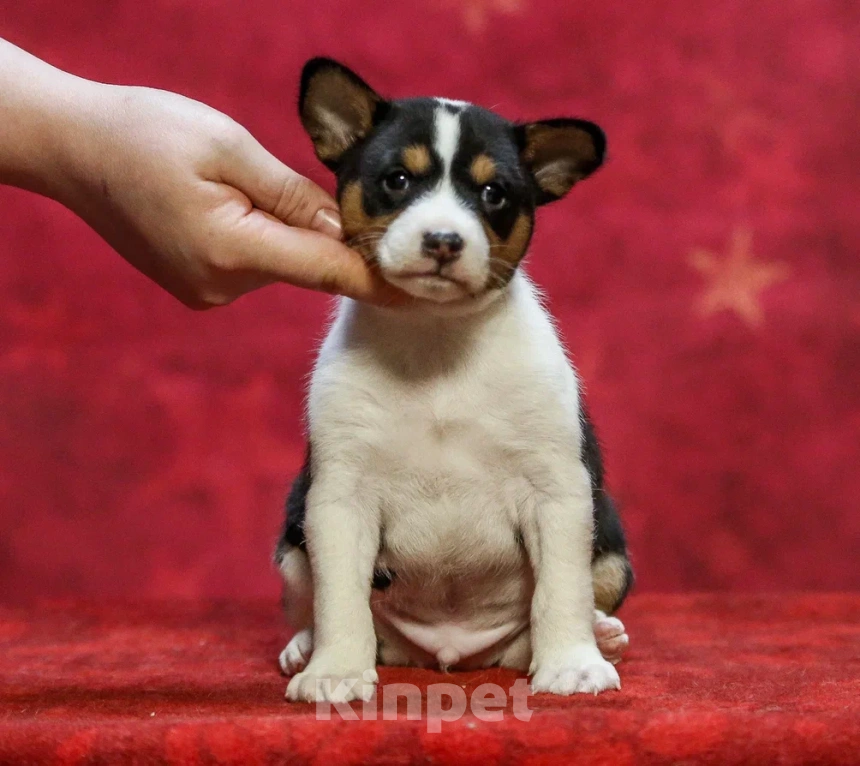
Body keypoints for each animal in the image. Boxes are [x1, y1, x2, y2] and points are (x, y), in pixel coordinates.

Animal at [276, 58, 632, 708]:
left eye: (493, 194)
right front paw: (335, 670)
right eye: (396, 180)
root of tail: (449, 653)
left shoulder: (558, 492)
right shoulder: (338, 498)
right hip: (293, 537)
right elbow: (340, 597)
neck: (437, 340)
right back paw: (304, 647)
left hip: (611, 542)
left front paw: (572, 663)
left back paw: (603, 636)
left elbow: (560, 591)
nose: (444, 241)